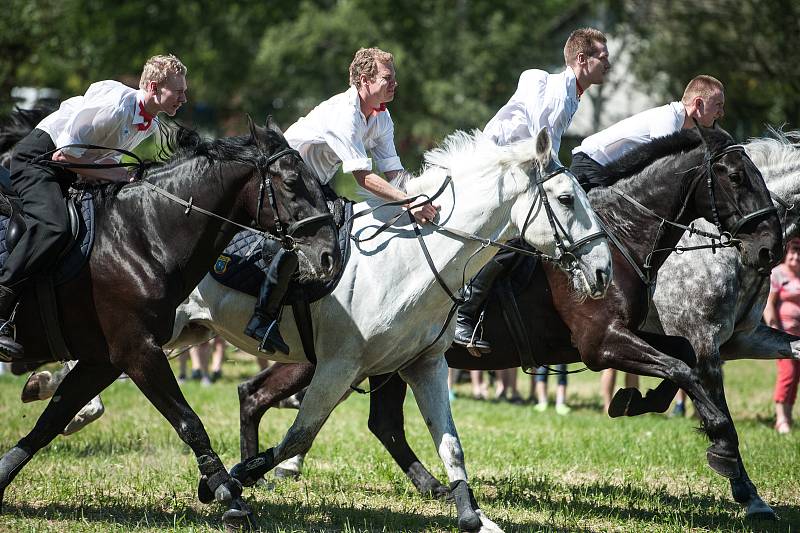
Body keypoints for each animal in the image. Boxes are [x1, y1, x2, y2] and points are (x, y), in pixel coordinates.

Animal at [0, 114, 340, 524]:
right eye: (291, 182)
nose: (329, 256)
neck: (141, 237)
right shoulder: (138, 350)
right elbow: (189, 422)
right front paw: (228, 493)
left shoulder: (103, 360)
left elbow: (47, 424)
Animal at [26, 128, 612, 528]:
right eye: (565, 199)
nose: (604, 270)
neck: (416, 261)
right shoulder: (338, 367)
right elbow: (297, 436)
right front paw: (228, 482)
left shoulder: (420, 365)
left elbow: (451, 445)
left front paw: (472, 515)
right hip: (163, 332)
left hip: (183, 332)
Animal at [234, 124, 784, 516]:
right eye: (738, 176)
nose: (770, 249)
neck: (622, 232)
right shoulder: (604, 343)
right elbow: (688, 372)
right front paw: (728, 462)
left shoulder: (646, 336)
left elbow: (687, 364)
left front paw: (640, 404)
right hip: (327, 360)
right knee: (257, 394)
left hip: (387, 360)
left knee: (377, 421)